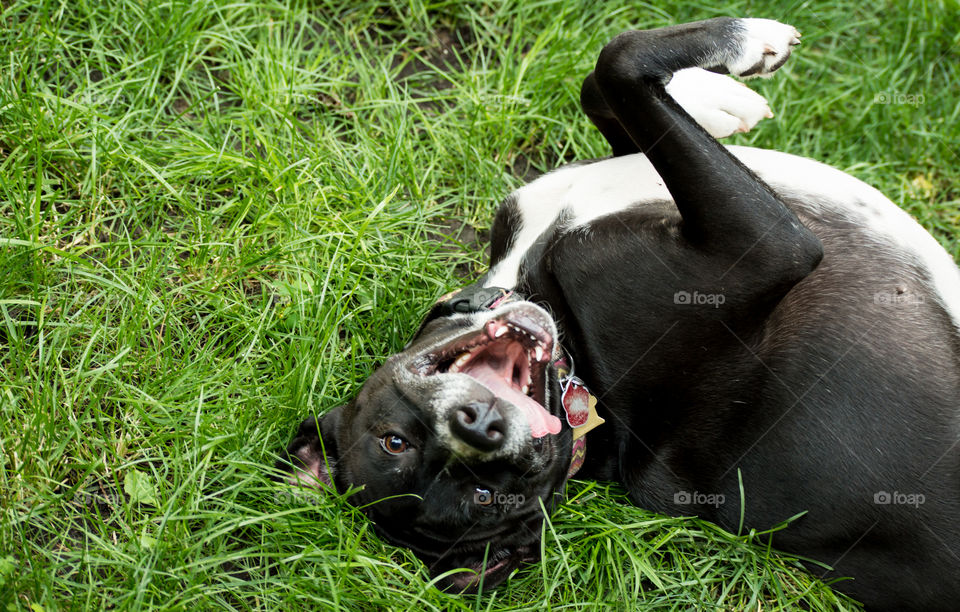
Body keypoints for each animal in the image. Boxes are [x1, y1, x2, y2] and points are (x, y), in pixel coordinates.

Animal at [280, 16, 960, 608]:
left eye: (393, 439)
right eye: (485, 494)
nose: (481, 427)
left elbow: (603, 90)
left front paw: (716, 98)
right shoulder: (766, 245)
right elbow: (620, 59)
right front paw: (751, 45)